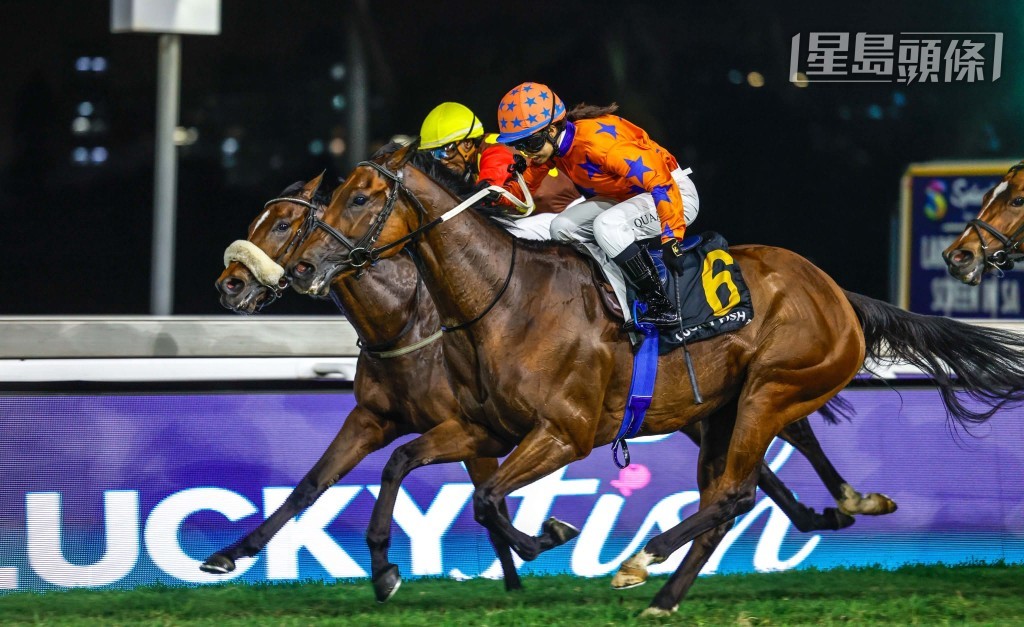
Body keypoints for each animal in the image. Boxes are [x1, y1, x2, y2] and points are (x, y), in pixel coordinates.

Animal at [284, 141, 1024, 617]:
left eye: (362, 197)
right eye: (336, 194)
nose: (302, 266)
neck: (506, 297)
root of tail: (837, 293)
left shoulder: (565, 432)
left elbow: (489, 496)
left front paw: (548, 536)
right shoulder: (484, 425)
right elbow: (405, 463)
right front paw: (385, 570)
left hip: (771, 390)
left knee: (735, 493)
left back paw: (645, 559)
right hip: (724, 410)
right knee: (729, 496)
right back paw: (668, 592)